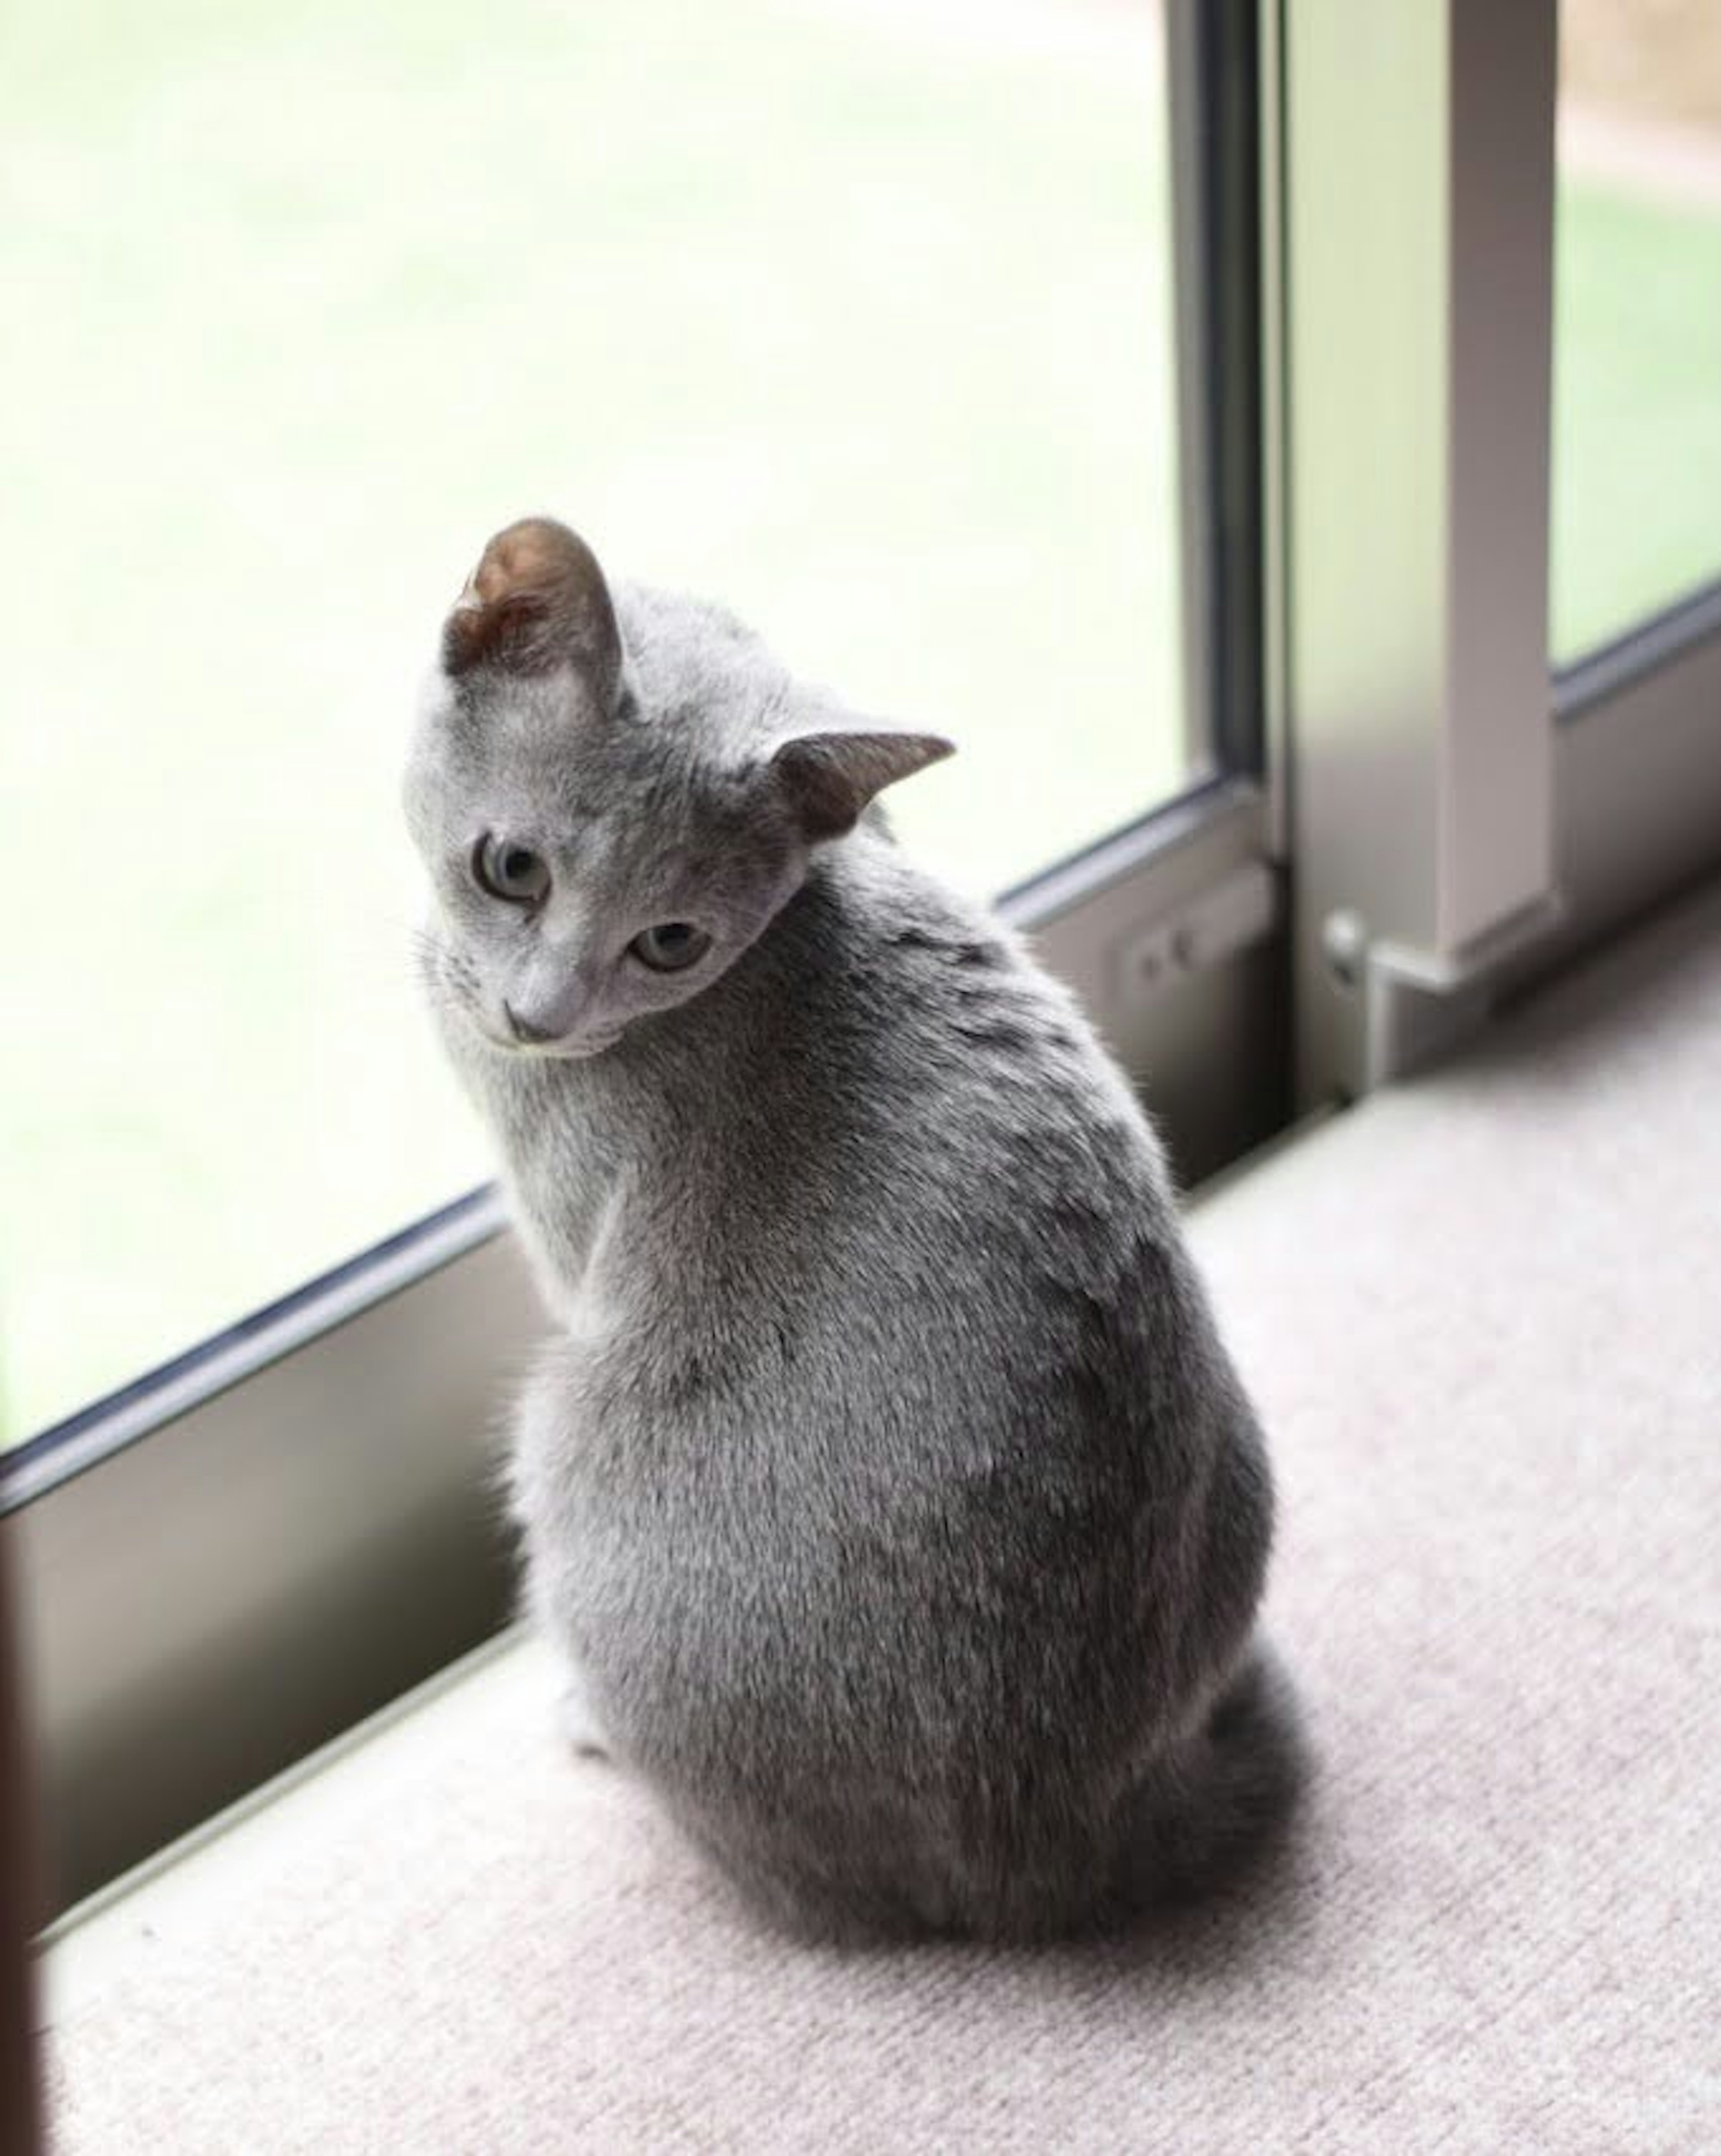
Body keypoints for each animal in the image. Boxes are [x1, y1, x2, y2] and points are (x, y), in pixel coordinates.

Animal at [405, 517, 1302, 1940]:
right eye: (514, 868)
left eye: (670, 942)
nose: (540, 1017)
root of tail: (1073, 1821)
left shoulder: (568, 1221)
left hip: (565, 1450)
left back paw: (589, 1721)